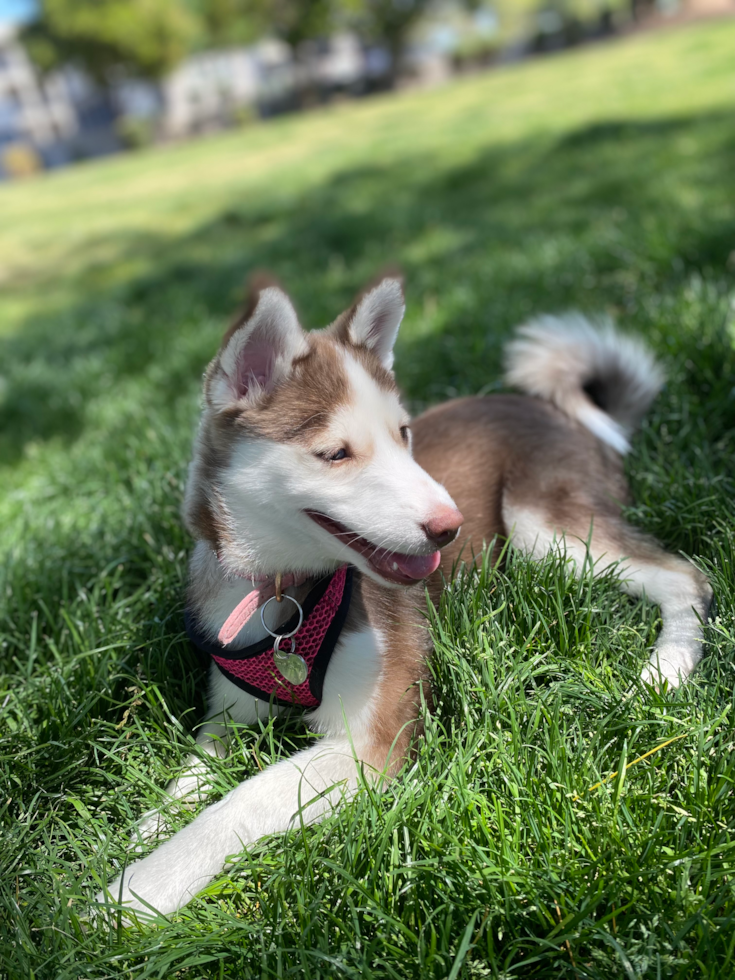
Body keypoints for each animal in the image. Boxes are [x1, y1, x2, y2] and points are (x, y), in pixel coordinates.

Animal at [98, 274, 712, 920]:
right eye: (336, 453)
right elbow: (192, 771)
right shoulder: (229, 713)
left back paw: (666, 670)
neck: (284, 590)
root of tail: (560, 412)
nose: (450, 527)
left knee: (686, 576)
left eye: (404, 434)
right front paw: (144, 827)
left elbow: (241, 801)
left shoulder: (370, 743)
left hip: (546, 530)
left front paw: (130, 895)